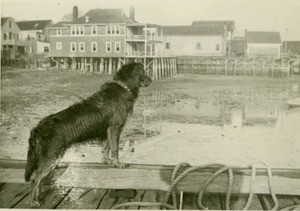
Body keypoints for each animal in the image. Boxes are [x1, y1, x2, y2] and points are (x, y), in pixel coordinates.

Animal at [24, 61, 152, 207]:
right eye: (142, 72)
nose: (151, 81)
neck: (122, 87)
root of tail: (37, 128)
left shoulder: (108, 130)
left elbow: (106, 147)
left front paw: (107, 161)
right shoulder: (115, 128)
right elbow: (115, 149)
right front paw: (118, 164)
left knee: (38, 177)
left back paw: (38, 197)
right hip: (51, 157)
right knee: (35, 178)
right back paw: (32, 201)